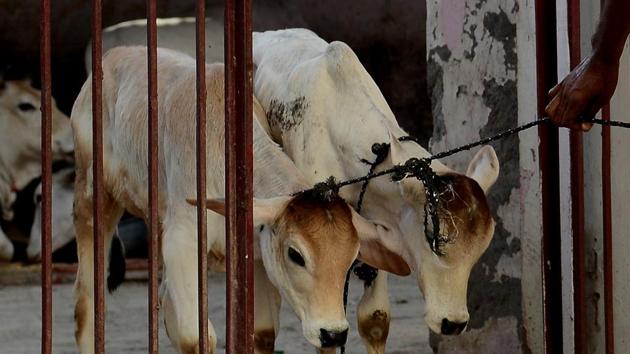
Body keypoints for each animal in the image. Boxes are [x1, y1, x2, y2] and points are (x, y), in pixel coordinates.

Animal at [70, 47, 410, 354]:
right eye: (295, 255)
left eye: (352, 259)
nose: (334, 334)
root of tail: (112, 55)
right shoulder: (183, 241)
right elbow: (196, 338)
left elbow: (260, 333)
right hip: (92, 199)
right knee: (86, 304)